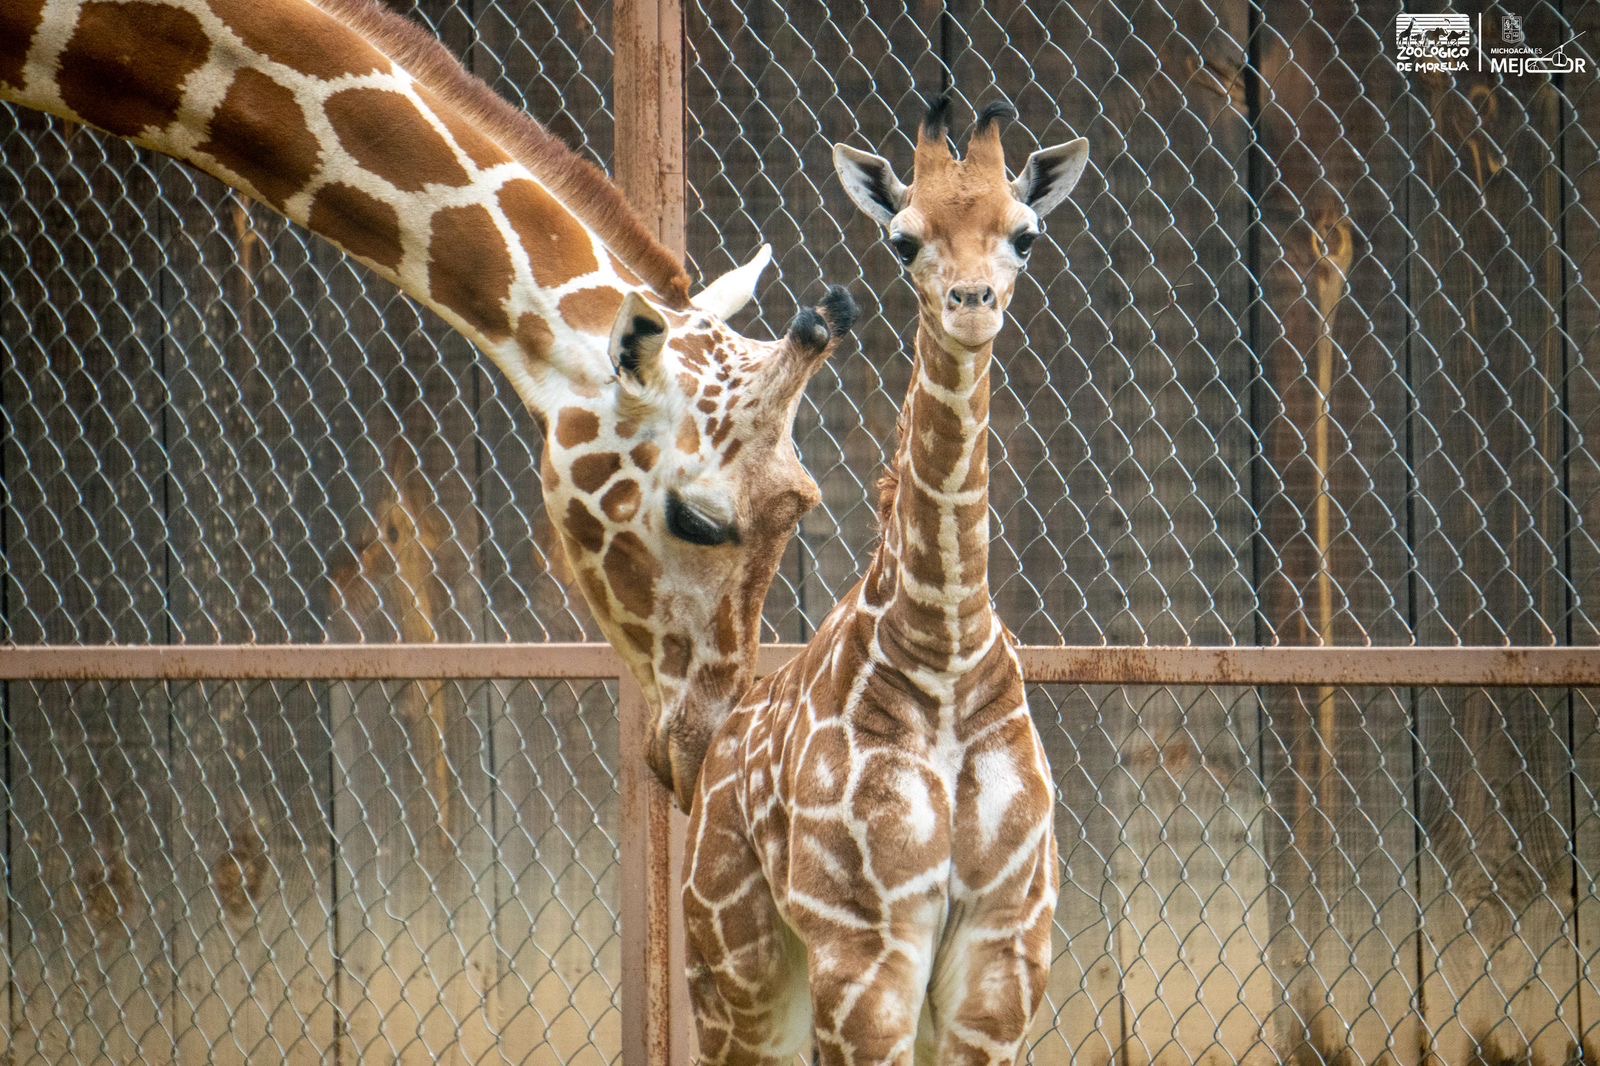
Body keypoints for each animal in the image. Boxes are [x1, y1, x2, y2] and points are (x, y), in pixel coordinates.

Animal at [681, 98, 1089, 1064]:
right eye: (905, 241)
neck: (943, 651)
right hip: (737, 970)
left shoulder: (1005, 946)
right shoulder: (867, 943)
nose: (972, 304)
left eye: (1025, 234)